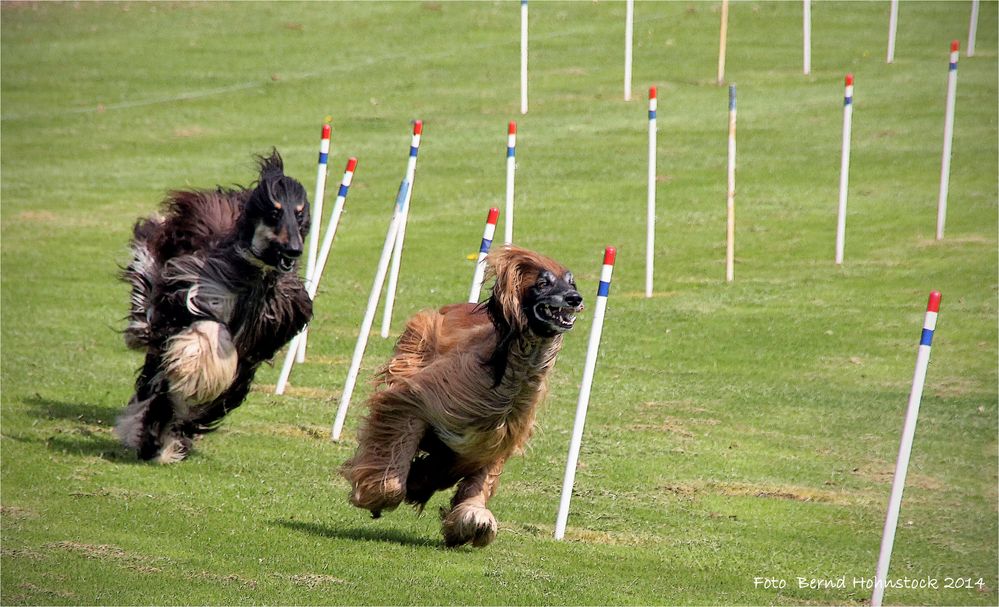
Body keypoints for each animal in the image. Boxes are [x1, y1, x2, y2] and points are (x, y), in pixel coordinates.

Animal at [117, 153, 312, 466]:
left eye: (300, 214)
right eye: (274, 212)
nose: (294, 250)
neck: (255, 277)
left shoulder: (255, 348)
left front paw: (167, 439)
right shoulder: (196, 293)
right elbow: (206, 336)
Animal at [340, 245, 584, 548]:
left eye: (572, 283)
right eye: (542, 283)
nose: (575, 299)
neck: (504, 380)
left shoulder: (495, 440)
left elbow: (477, 484)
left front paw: (471, 520)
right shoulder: (417, 399)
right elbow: (395, 456)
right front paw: (377, 495)